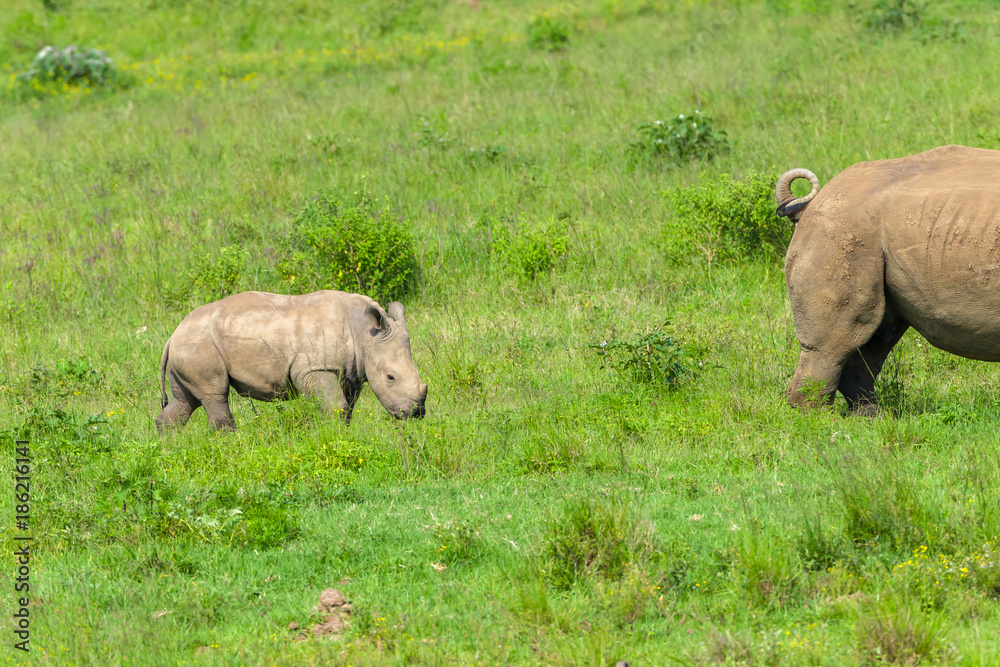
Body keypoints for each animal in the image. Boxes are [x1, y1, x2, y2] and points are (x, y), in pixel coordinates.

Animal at [156, 290, 428, 432]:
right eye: (391, 377)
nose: (415, 413)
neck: (364, 334)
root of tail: (173, 334)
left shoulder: (352, 371)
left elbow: (348, 407)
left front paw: (343, 433)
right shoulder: (314, 367)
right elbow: (336, 406)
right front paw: (334, 434)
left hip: (188, 346)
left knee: (185, 401)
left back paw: (169, 446)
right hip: (198, 345)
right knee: (215, 395)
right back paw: (231, 444)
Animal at [776, 144, 1000, 414]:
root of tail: (815, 202)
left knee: (877, 335)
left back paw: (869, 418)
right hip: (837, 230)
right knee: (834, 343)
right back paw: (815, 419)